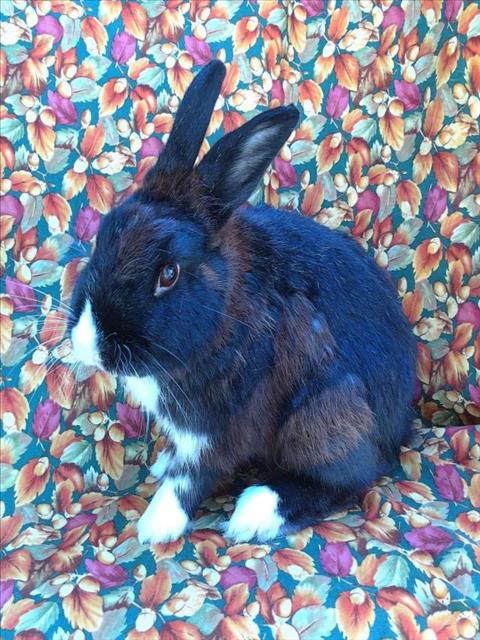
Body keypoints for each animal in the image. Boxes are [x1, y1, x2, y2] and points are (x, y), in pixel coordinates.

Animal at [69, 60, 417, 544]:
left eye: (168, 274)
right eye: (102, 236)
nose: (89, 344)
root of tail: (398, 431)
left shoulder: (220, 427)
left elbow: (189, 478)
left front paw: (154, 527)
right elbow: (177, 461)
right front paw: (161, 465)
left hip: (327, 411)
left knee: (353, 477)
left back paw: (256, 512)